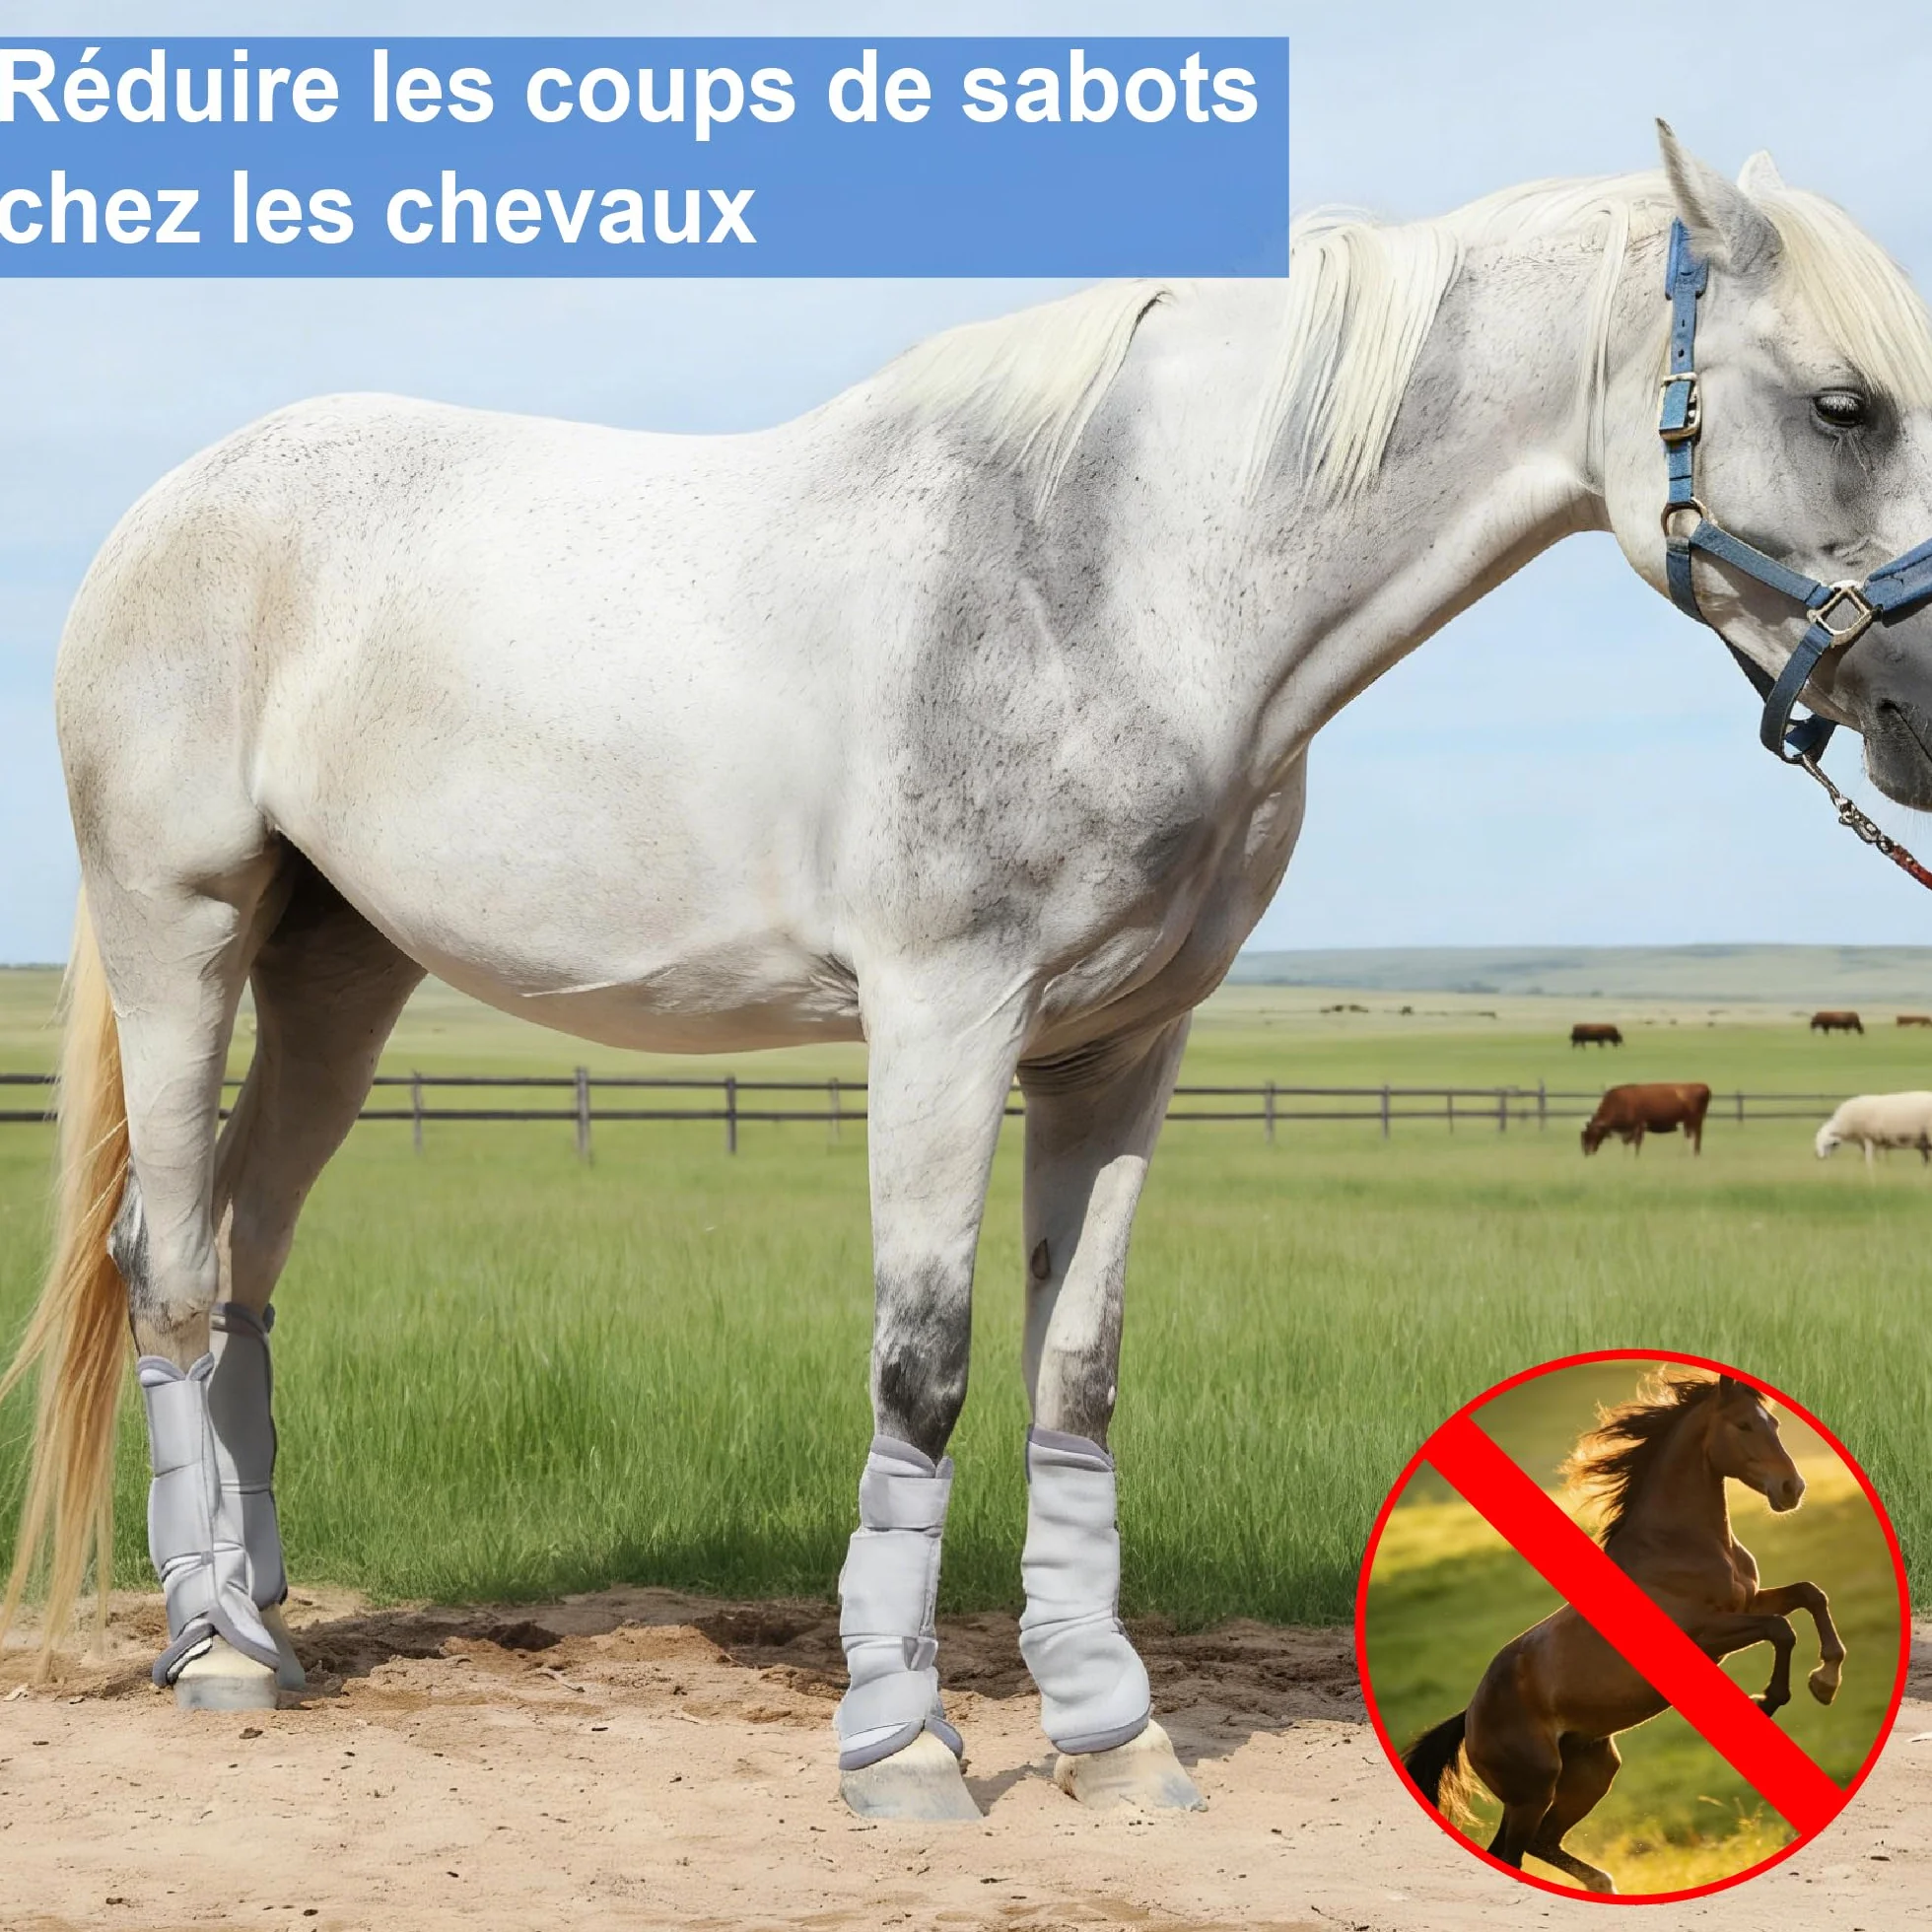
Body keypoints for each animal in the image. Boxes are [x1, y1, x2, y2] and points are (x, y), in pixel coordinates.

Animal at [1401, 1372, 1843, 1894]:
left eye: (1773, 1423)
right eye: (1743, 1426)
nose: (1792, 1488)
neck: (1678, 1546)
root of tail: (1471, 1717)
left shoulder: (1748, 1603)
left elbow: (1809, 1595)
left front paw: (1826, 1680)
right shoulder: (1703, 1635)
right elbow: (1782, 1629)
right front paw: (1769, 1700)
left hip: (1591, 1771)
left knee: (1538, 1843)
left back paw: (1605, 1884)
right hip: (1531, 1791)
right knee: (1513, 1852)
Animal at [1580, 1081, 1711, 1154]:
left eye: (1592, 1133)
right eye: (1584, 1136)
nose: (1586, 1152)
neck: (1619, 1101)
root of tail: (1703, 1086)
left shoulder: (1638, 1127)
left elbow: (1636, 1146)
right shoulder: (1627, 1132)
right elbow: (1627, 1145)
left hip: (1694, 1121)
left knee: (1695, 1138)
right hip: (1689, 1122)